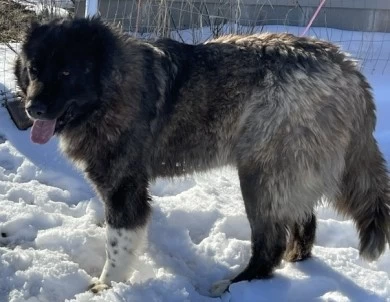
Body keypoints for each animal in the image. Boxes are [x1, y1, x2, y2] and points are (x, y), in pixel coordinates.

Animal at [14, 17, 390, 296]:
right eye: (33, 69)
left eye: (67, 72)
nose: (33, 108)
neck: (111, 88)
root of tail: (347, 68)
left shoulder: (124, 187)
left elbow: (118, 244)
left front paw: (106, 287)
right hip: (288, 172)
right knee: (304, 220)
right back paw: (297, 262)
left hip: (261, 177)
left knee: (270, 243)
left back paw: (236, 285)